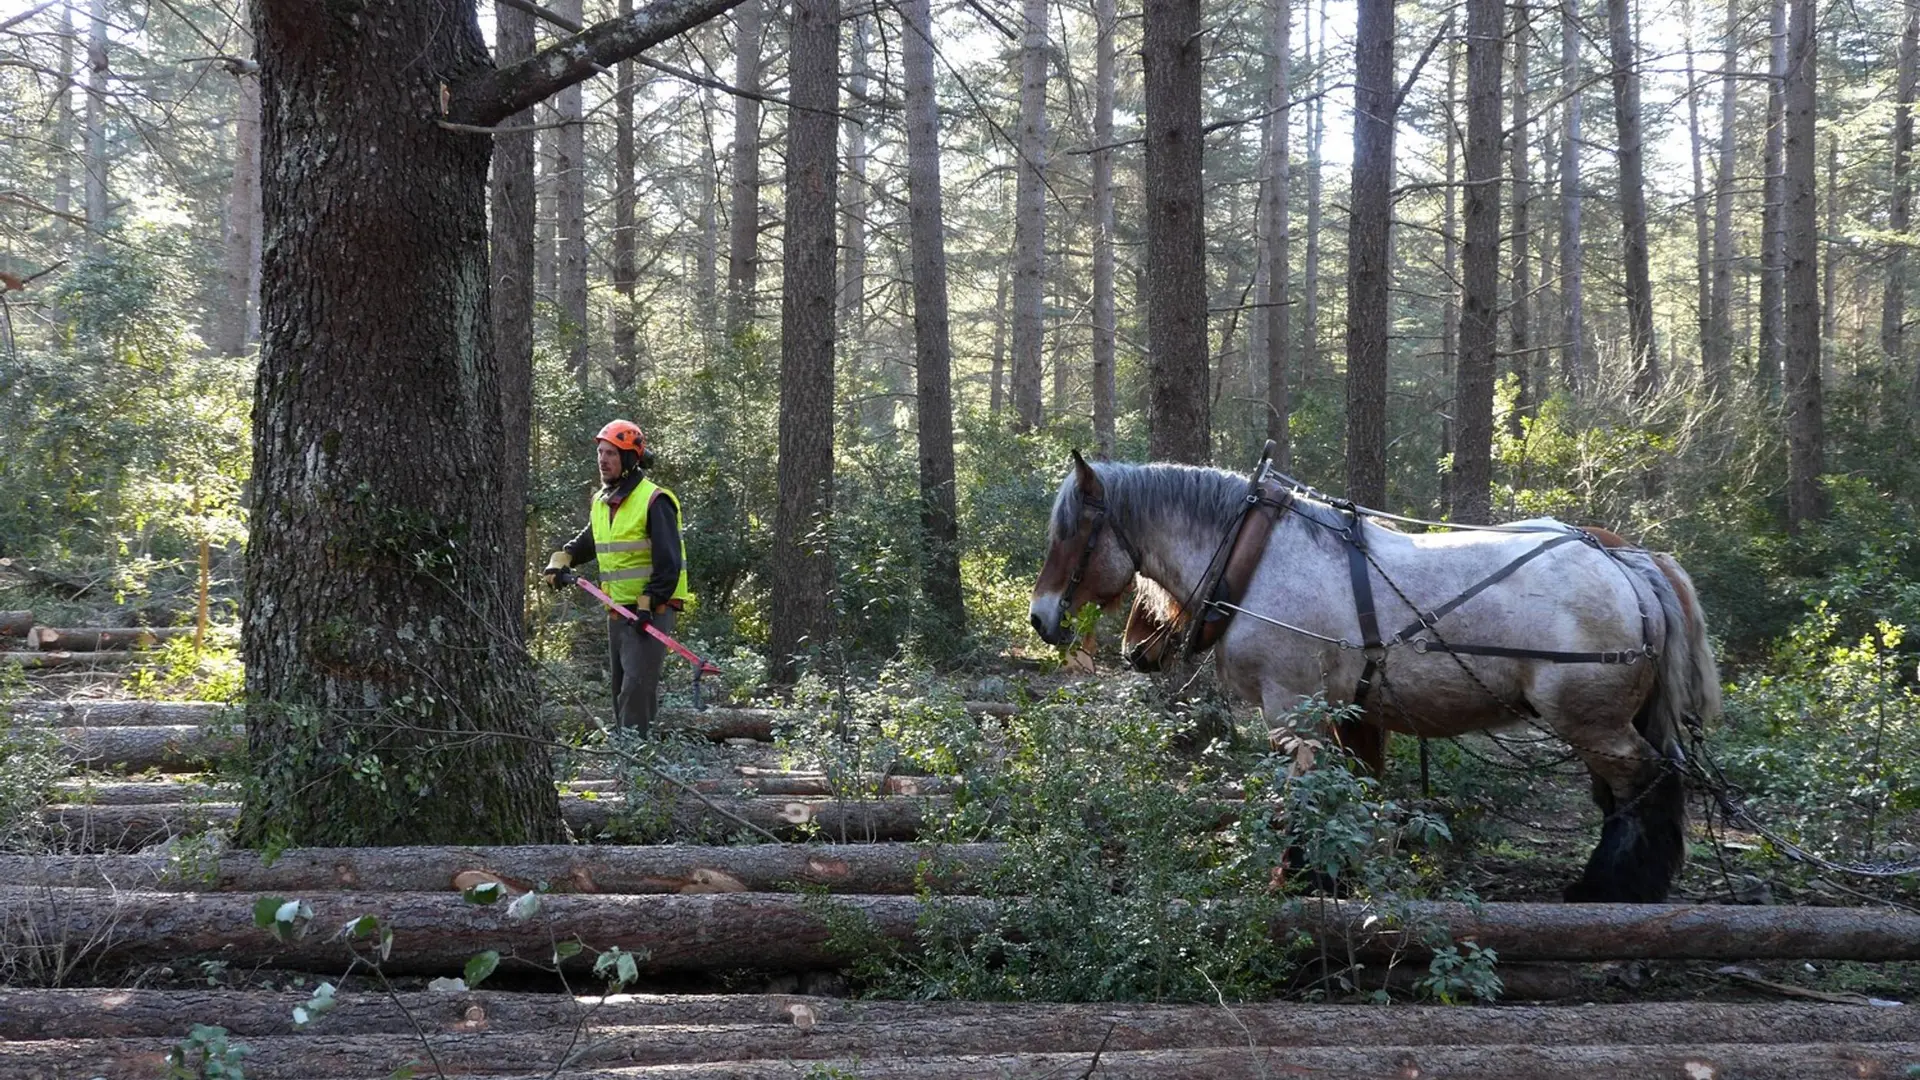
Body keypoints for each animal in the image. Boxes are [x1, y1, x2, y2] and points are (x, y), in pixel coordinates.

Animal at [1030, 453, 1721, 903]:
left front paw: (1302, 877)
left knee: (1648, 783)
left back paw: (1615, 885)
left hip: (1590, 720)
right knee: (1628, 791)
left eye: (1071, 533)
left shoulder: (1293, 710)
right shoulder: (1355, 714)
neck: (1256, 560)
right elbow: (1351, 794)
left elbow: (1308, 799)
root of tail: (1626, 560)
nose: (1041, 618)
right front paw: (1340, 872)